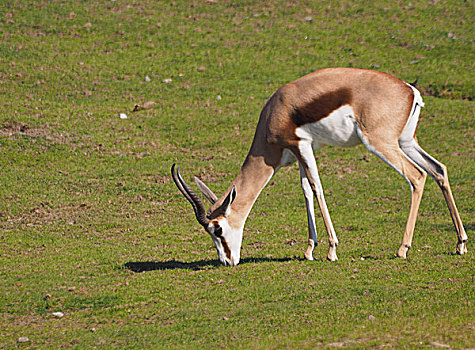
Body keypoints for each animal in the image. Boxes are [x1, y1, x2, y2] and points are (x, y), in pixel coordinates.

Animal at [171, 67, 468, 266]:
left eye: (217, 229)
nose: (227, 261)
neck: (276, 113)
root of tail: (409, 90)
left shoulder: (301, 145)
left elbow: (317, 188)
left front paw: (332, 249)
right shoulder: (304, 151)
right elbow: (306, 192)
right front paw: (309, 250)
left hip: (381, 143)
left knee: (417, 176)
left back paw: (403, 248)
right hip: (406, 142)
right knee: (439, 170)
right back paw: (461, 243)